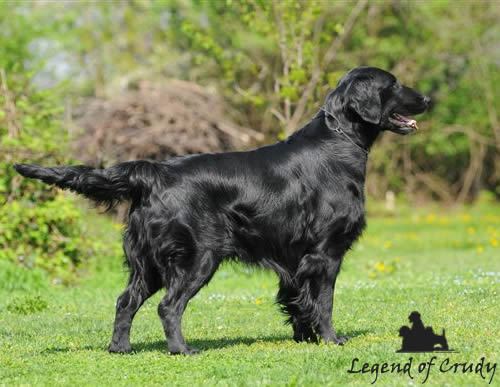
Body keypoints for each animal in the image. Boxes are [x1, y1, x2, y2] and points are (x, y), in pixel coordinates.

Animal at [14, 66, 430, 354]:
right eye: (393, 84)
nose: (427, 99)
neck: (338, 142)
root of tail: (154, 173)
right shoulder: (324, 253)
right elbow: (323, 302)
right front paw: (331, 339)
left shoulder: (295, 259)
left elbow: (298, 302)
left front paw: (304, 338)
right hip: (198, 257)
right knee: (168, 306)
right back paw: (181, 349)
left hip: (147, 263)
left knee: (125, 301)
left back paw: (121, 348)